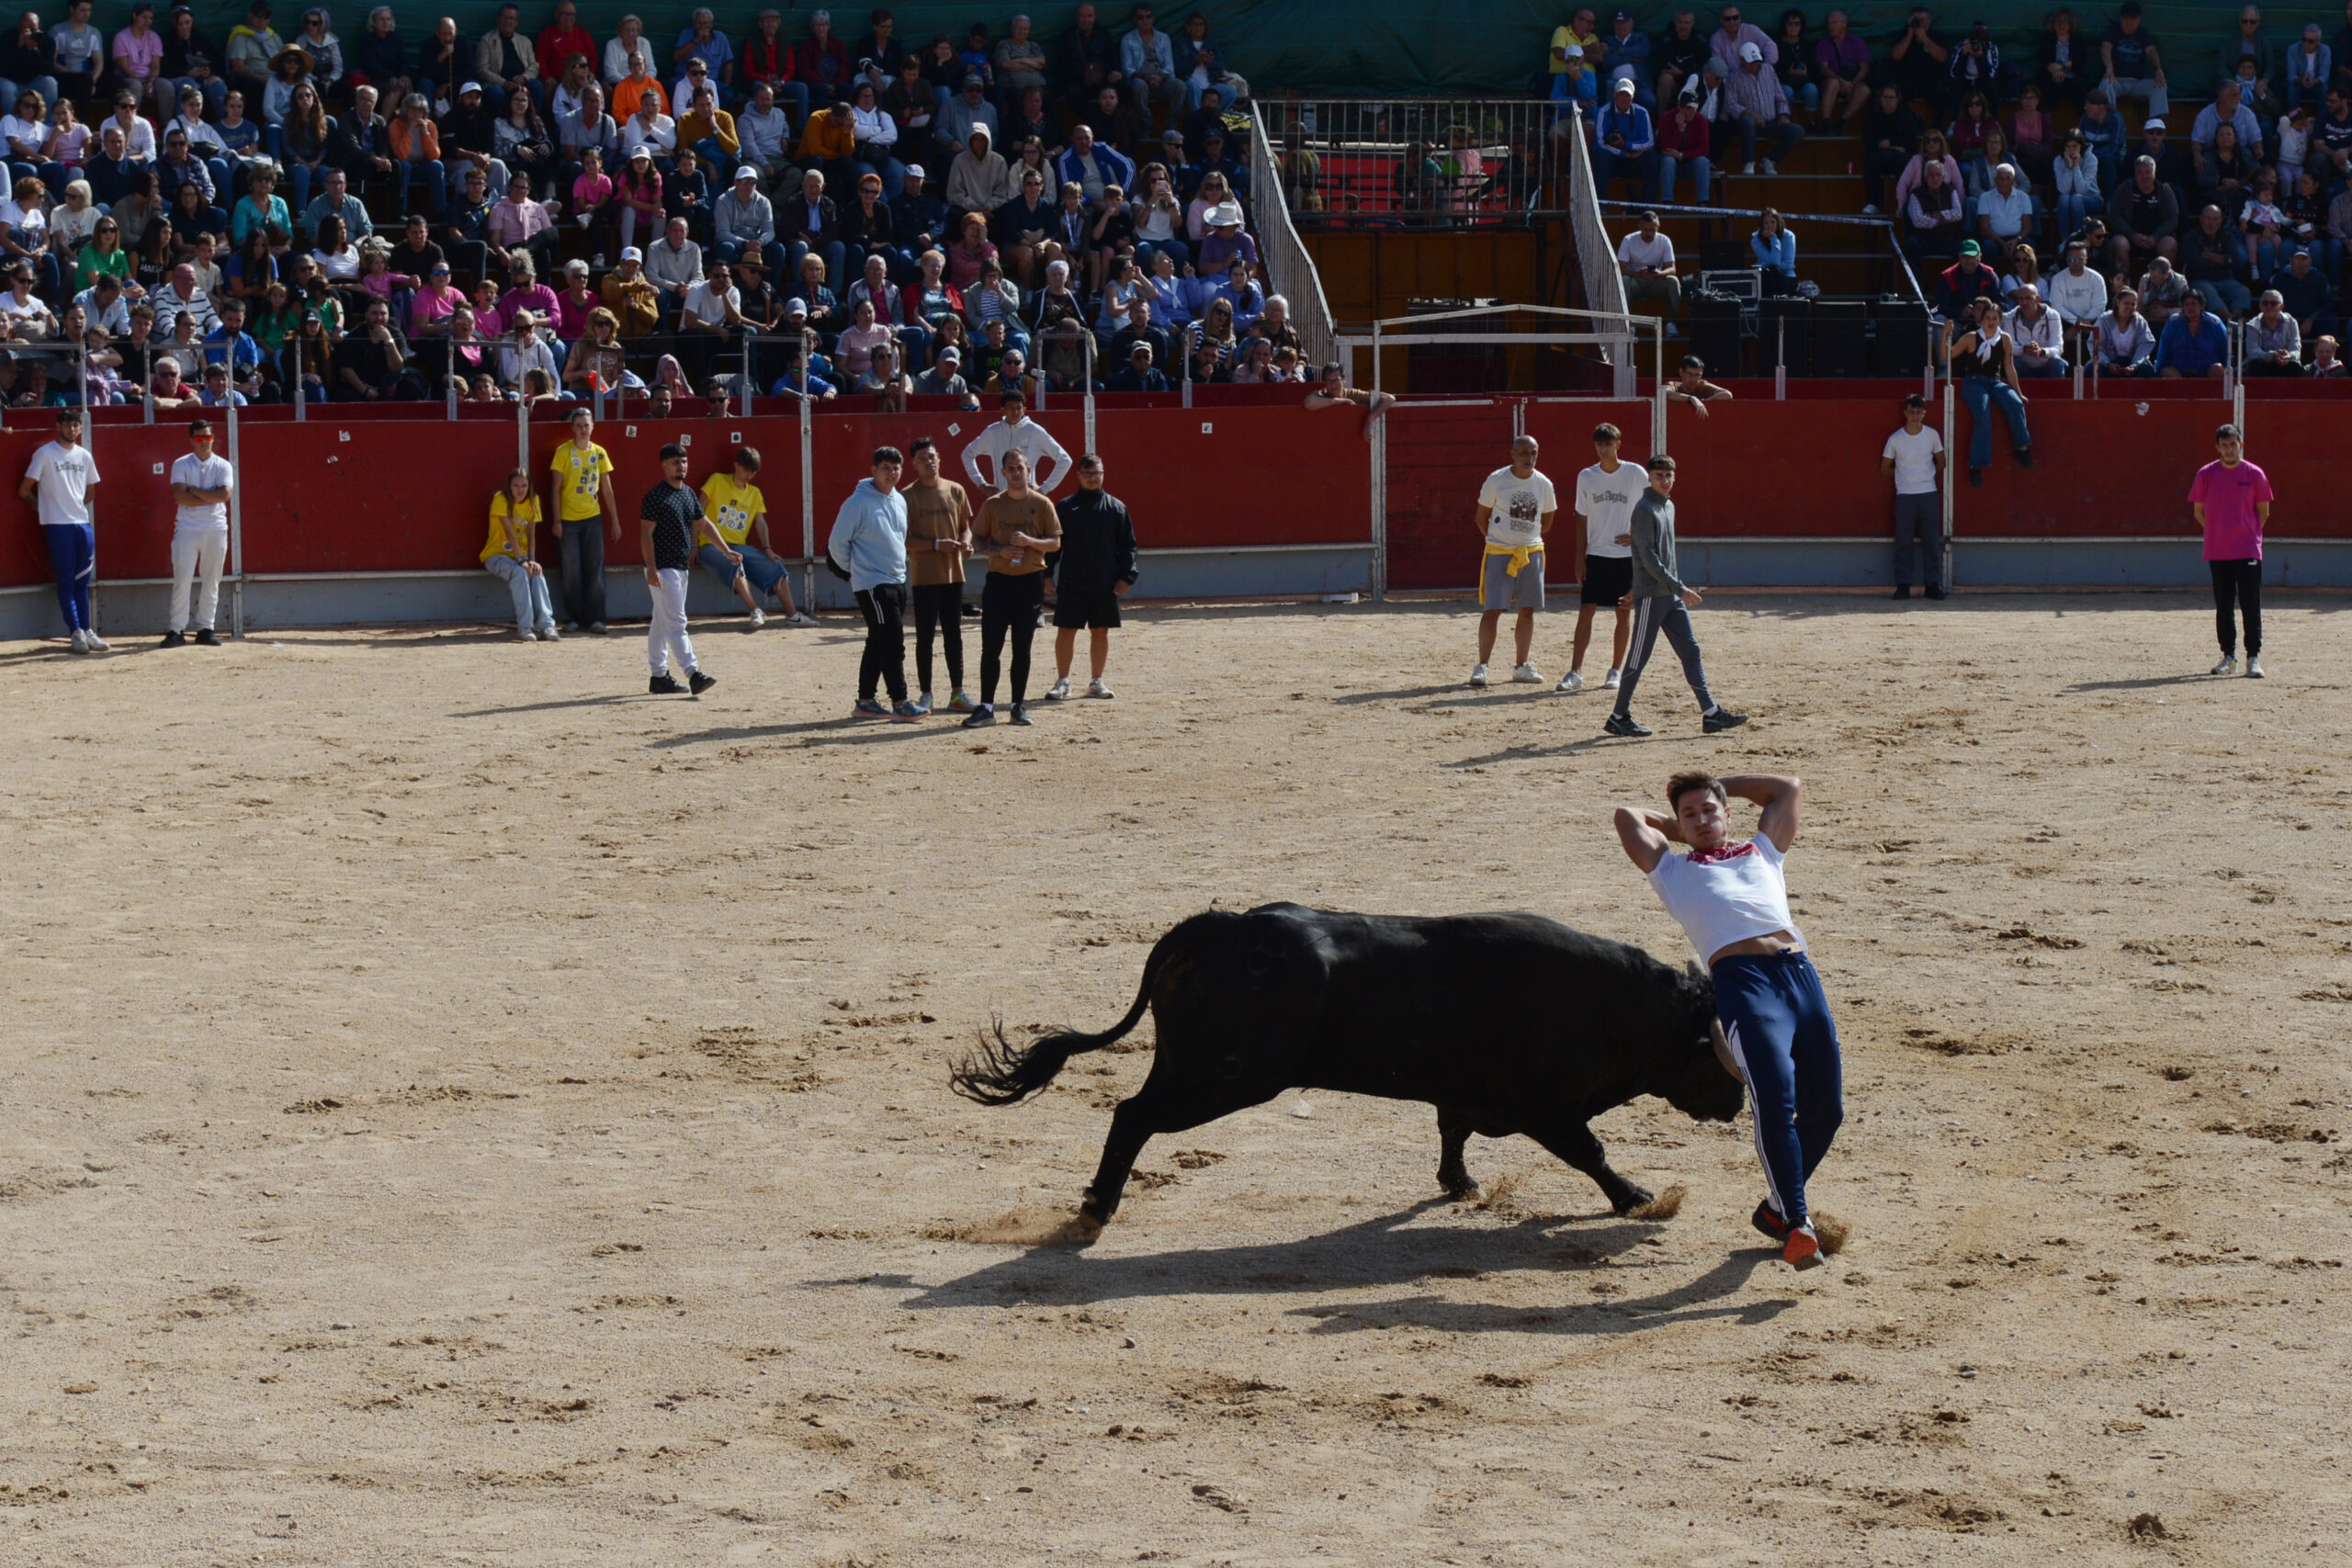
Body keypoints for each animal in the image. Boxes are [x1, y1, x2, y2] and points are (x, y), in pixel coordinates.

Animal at [950, 902, 1748, 1239]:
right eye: (1717, 1048)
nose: (1740, 1102)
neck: (1615, 1003)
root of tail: (1220, 925)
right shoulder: (1546, 1107)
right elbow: (1591, 1150)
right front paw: (1638, 1196)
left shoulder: (1467, 1093)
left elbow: (1452, 1131)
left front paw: (1459, 1184)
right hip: (1223, 1078)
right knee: (1133, 1116)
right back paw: (1097, 1208)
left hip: (1188, 1068)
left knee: (1133, 1112)